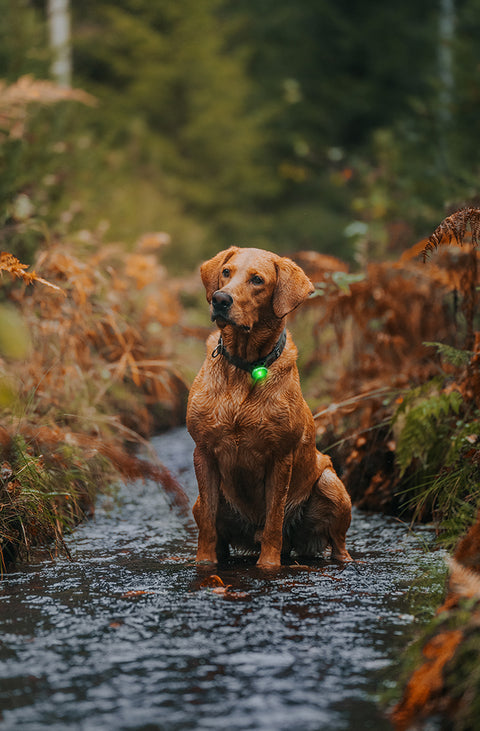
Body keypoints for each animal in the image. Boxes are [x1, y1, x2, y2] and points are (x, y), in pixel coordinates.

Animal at [186, 246, 350, 568]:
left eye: (257, 280)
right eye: (226, 272)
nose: (220, 299)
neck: (244, 365)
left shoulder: (280, 458)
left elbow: (274, 520)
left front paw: (268, 566)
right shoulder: (204, 453)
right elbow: (208, 525)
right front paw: (205, 564)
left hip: (330, 483)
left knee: (337, 543)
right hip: (200, 502)